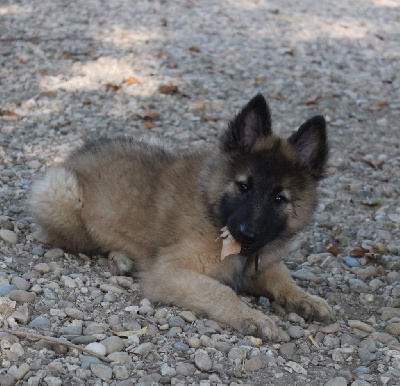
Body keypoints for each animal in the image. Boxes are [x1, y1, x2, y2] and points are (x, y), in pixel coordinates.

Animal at [28, 95, 332, 340]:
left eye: (279, 199)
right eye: (244, 186)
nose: (247, 233)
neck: (213, 211)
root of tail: (79, 153)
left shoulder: (257, 265)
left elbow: (281, 276)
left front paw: (305, 298)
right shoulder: (169, 271)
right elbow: (222, 291)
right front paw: (253, 317)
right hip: (61, 194)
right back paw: (120, 258)